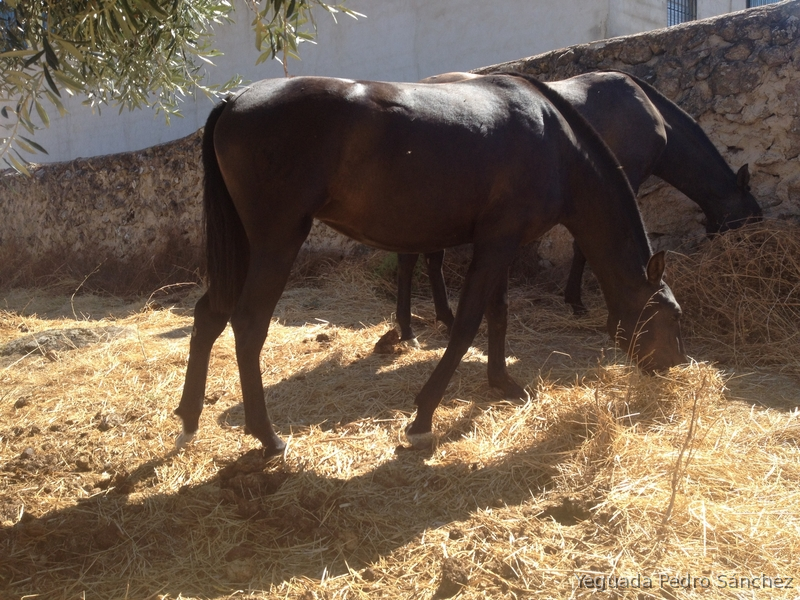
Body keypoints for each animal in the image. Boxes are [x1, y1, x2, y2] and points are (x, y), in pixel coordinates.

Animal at [174, 72, 687, 455]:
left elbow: (498, 316)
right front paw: (423, 417)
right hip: (275, 242)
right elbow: (466, 325)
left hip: (243, 246)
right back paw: (267, 437)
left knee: (209, 315)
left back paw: (189, 418)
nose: (674, 366)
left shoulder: (500, 243)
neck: (555, 145)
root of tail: (235, 99)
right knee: (247, 324)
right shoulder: (496, 244)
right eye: (671, 316)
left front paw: (502, 382)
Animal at [394, 70, 762, 343]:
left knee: (429, 257)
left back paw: (442, 318)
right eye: (751, 220)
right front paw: (576, 300)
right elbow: (585, 246)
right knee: (412, 258)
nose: (749, 265)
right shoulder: (622, 179)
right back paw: (409, 328)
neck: (650, 111)